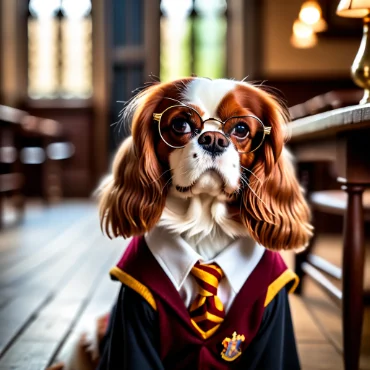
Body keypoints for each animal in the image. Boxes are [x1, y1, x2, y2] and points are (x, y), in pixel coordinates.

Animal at [62, 76, 312, 368]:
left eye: (240, 129)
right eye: (181, 124)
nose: (214, 139)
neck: (206, 227)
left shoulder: (273, 313)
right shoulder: (133, 313)